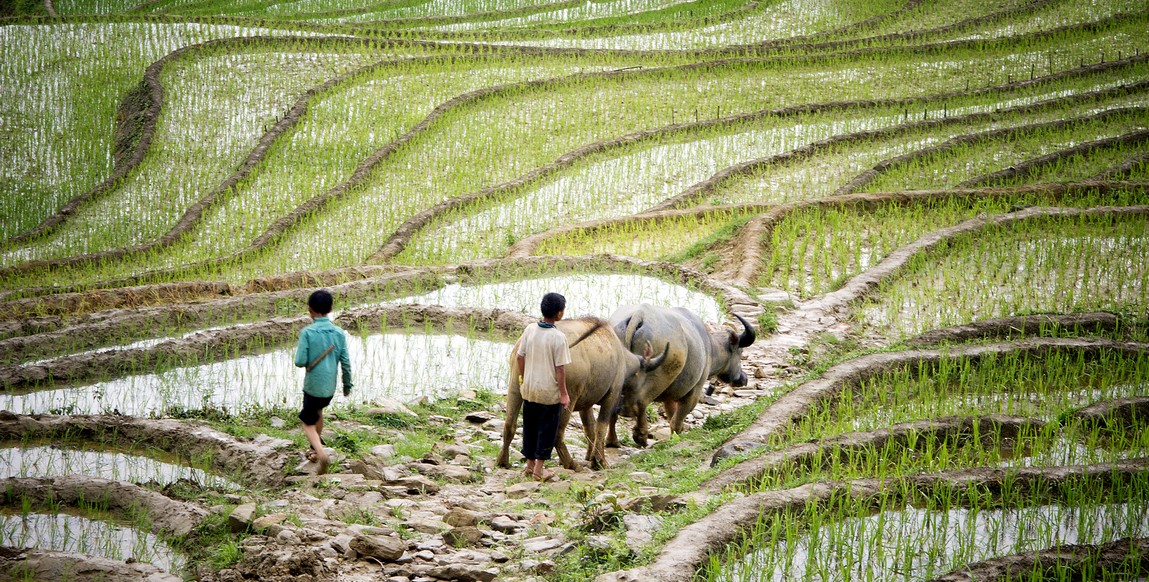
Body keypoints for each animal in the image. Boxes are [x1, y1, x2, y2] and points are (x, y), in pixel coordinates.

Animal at [494, 316, 666, 470]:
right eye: (643, 378)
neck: (622, 357)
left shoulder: (586, 404)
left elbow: (590, 428)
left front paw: (590, 457)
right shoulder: (611, 397)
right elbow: (600, 427)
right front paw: (599, 461)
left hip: (515, 388)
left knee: (509, 425)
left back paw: (503, 461)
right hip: (566, 400)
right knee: (557, 434)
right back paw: (570, 463)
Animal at [611, 303, 753, 447]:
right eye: (740, 352)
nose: (744, 378)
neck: (710, 348)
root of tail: (639, 314)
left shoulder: (669, 396)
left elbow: (671, 414)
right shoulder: (694, 391)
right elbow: (677, 420)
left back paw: (612, 441)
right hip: (656, 379)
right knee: (640, 402)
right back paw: (641, 436)